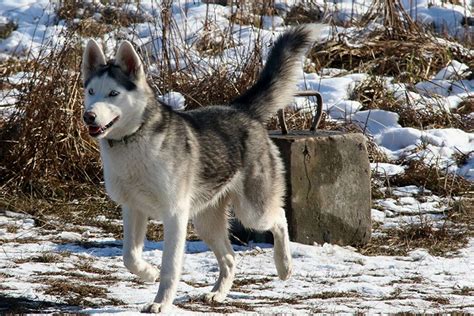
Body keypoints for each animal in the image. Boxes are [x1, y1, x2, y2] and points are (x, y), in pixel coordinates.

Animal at [82, 25, 322, 314]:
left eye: (113, 94)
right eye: (91, 91)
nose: (89, 116)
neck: (133, 140)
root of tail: (240, 109)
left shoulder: (175, 215)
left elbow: (170, 267)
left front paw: (161, 302)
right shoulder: (133, 209)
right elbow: (129, 257)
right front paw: (149, 273)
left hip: (252, 212)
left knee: (280, 219)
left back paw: (284, 266)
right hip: (205, 221)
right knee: (229, 257)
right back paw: (218, 293)